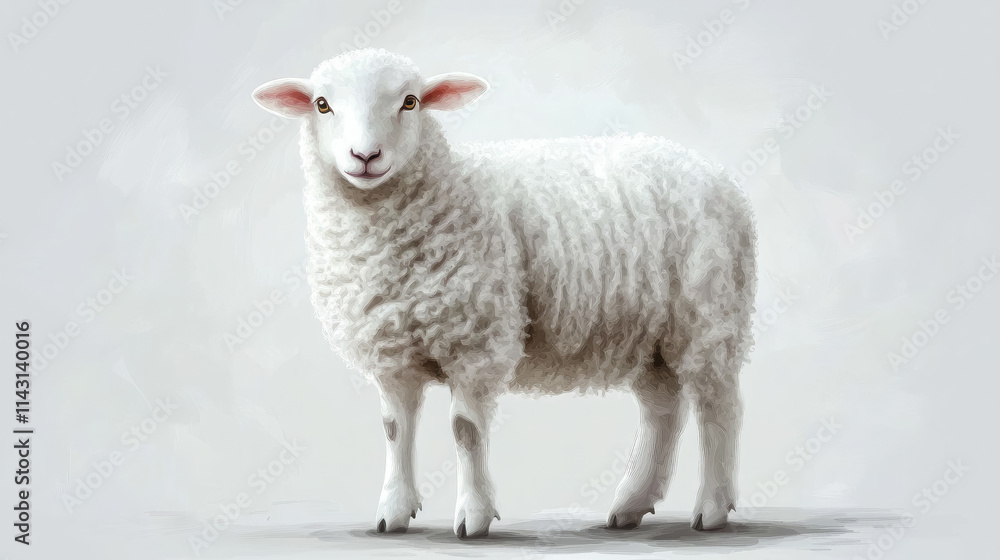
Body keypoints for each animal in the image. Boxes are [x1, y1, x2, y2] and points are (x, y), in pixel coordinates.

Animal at [252, 48, 757, 539]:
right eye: (322, 104)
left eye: (410, 102)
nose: (365, 155)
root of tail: (710, 171)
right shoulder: (391, 351)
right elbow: (395, 429)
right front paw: (392, 513)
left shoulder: (475, 342)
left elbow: (465, 432)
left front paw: (473, 517)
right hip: (648, 334)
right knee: (662, 410)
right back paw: (631, 505)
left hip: (707, 317)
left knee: (719, 408)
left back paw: (712, 509)